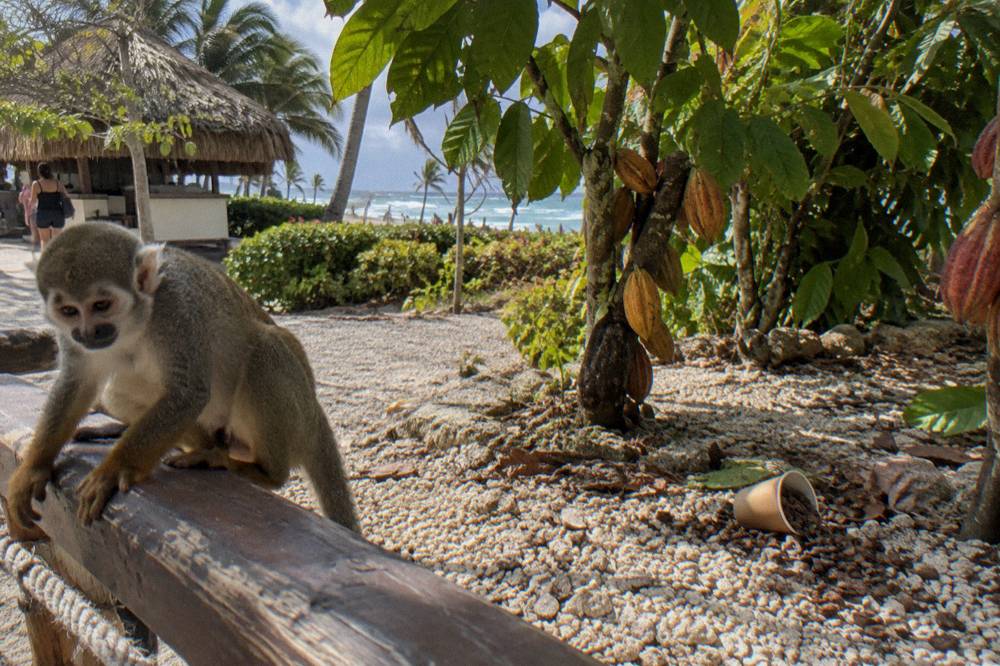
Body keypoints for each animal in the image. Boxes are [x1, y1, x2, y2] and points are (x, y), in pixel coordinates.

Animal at [6, 222, 360, 534]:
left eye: (101, 305)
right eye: (69, 311)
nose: (88, 333)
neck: (137, 321)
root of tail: (315, 411)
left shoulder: (175, 309)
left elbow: (189, 392)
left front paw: (113, 470)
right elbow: (76, 384)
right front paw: (32, 470)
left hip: (296, 413)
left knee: (265, 348)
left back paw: (263, 472)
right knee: (120, 391)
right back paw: (202, 446)